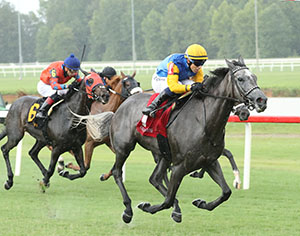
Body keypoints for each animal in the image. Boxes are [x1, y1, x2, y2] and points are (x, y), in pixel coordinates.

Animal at [105, 56, 268, 223]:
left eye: (255, 77)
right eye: (240, 79)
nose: (261, 100)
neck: (204, 122)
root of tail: (124, 103)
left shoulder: (209, 161)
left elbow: (226, 192)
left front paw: (201, 203)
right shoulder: (179, 166)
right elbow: (168, 200)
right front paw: (147, 206)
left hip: (163, 154)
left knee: (154, 178)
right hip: (124, 147)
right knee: (117, 172)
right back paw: (128, 209)